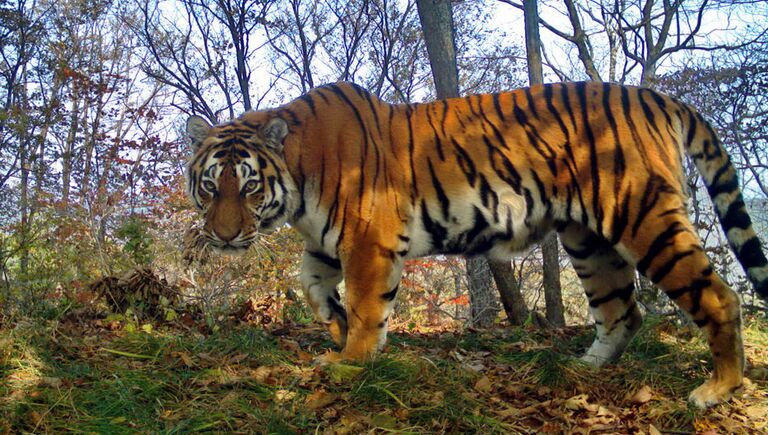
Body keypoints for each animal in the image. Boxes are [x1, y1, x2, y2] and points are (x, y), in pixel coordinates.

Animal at [186, 81, 768, 408]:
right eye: (213, 187)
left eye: (250, 187)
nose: (224, 234)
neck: (298, 172)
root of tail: (655, 96)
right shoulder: (327, 243)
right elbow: (310, 285)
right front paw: (337, 327)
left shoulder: (367, 239)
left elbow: (368, 303)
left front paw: (352, 359)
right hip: (588, 240)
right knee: (622, 310)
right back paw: (586, 367)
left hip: (643, 215)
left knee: (719, 296)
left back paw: (718, 391)